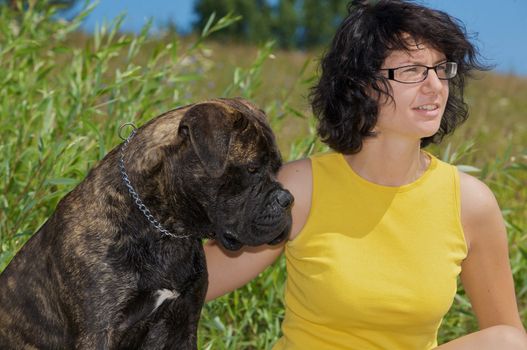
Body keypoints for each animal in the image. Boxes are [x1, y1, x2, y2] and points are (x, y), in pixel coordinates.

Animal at [0, 98, 292, 350]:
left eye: (277, 167)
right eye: (252, 169)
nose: (288, 199)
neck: (162, 229)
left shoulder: (182, 324)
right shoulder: (98, 331)